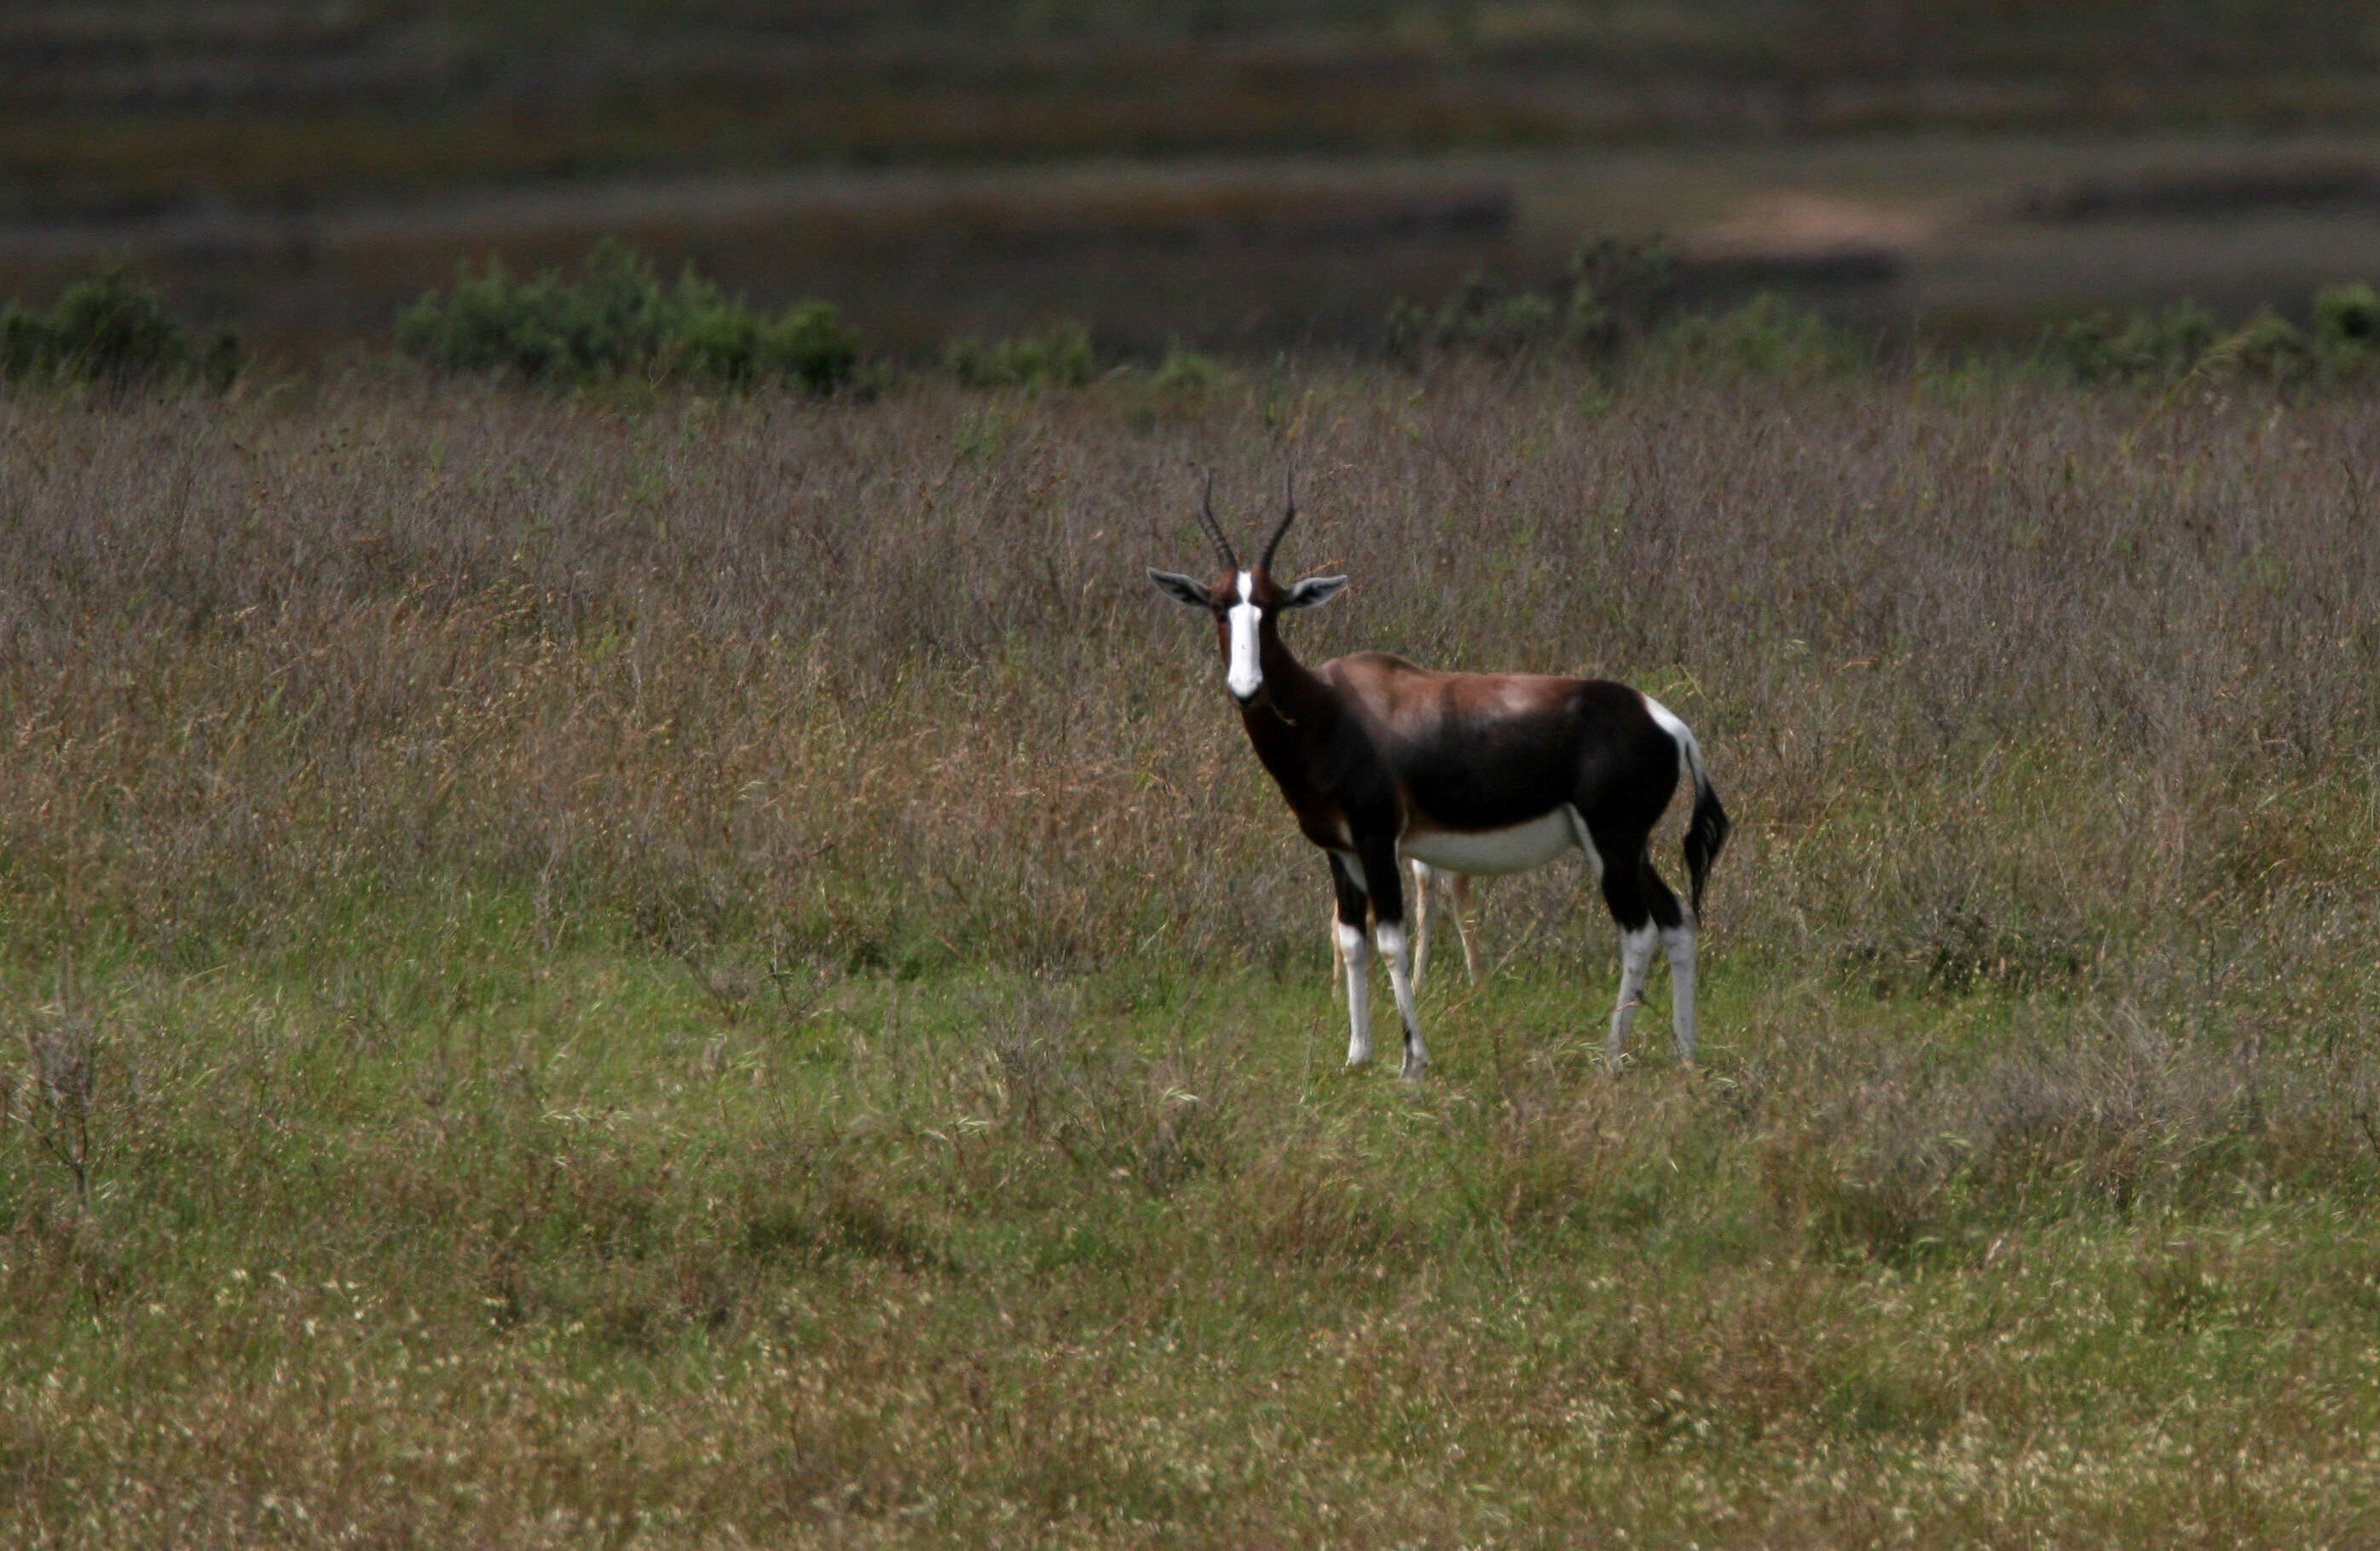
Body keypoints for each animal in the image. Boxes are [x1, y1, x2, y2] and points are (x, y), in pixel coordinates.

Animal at [1142, 478, 1723, 1070]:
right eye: (1219, 608)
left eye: (1273, 609)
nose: (1247, 688)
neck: (1332, 708)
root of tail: (1668, 723)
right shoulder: (1340, 851)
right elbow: (1353, 941)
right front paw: (1357, 1057)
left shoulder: (1379, 842)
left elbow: (1391, 942)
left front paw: (1412, 1061)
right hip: (1624, 847)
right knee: (1678, 920)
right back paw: (1686, 1054)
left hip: (1612, 845)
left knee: (1639, 932)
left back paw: (1610, 1059)